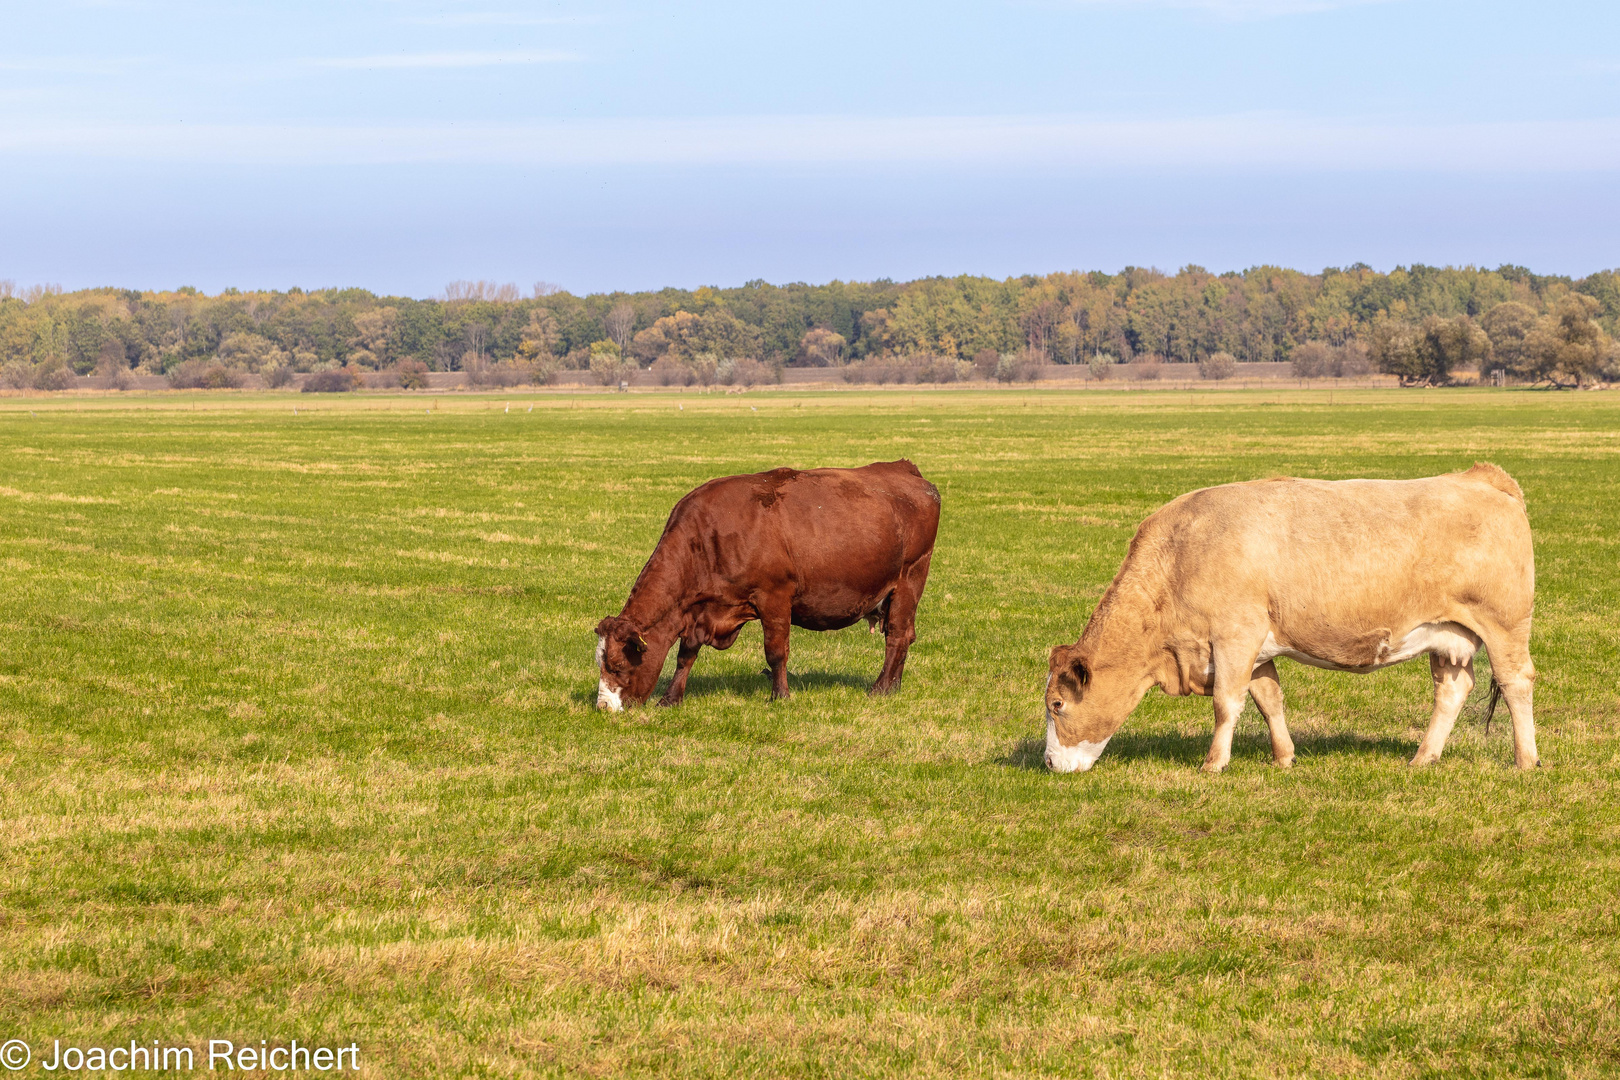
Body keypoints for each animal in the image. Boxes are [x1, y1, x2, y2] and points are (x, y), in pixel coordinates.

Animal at [599, 463, 946, 709]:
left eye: (616, 665)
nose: (602, 707)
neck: (708, 539)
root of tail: (904, 468)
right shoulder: (698, 611)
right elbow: (686, 655)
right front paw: (670, 698)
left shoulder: (775, 597)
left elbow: (776, 652)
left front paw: (780, 696)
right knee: (906, 635)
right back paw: (894, 686)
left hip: (909, 579)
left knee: (898, 636)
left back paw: (881, 688)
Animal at [1043, 466, 1535, 777]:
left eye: (1057, 704)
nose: (1047, 763)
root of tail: (1481, 477)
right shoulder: (1257, 647)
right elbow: (1268, 699)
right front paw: (1283, 758)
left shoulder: (1234, 636)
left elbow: (1226, 702)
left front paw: (1214, 763)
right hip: (1448, 637)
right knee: (1453, 690)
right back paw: (1423, 758)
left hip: (1505, 626)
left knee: (1516, 683)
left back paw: (1526, 760)